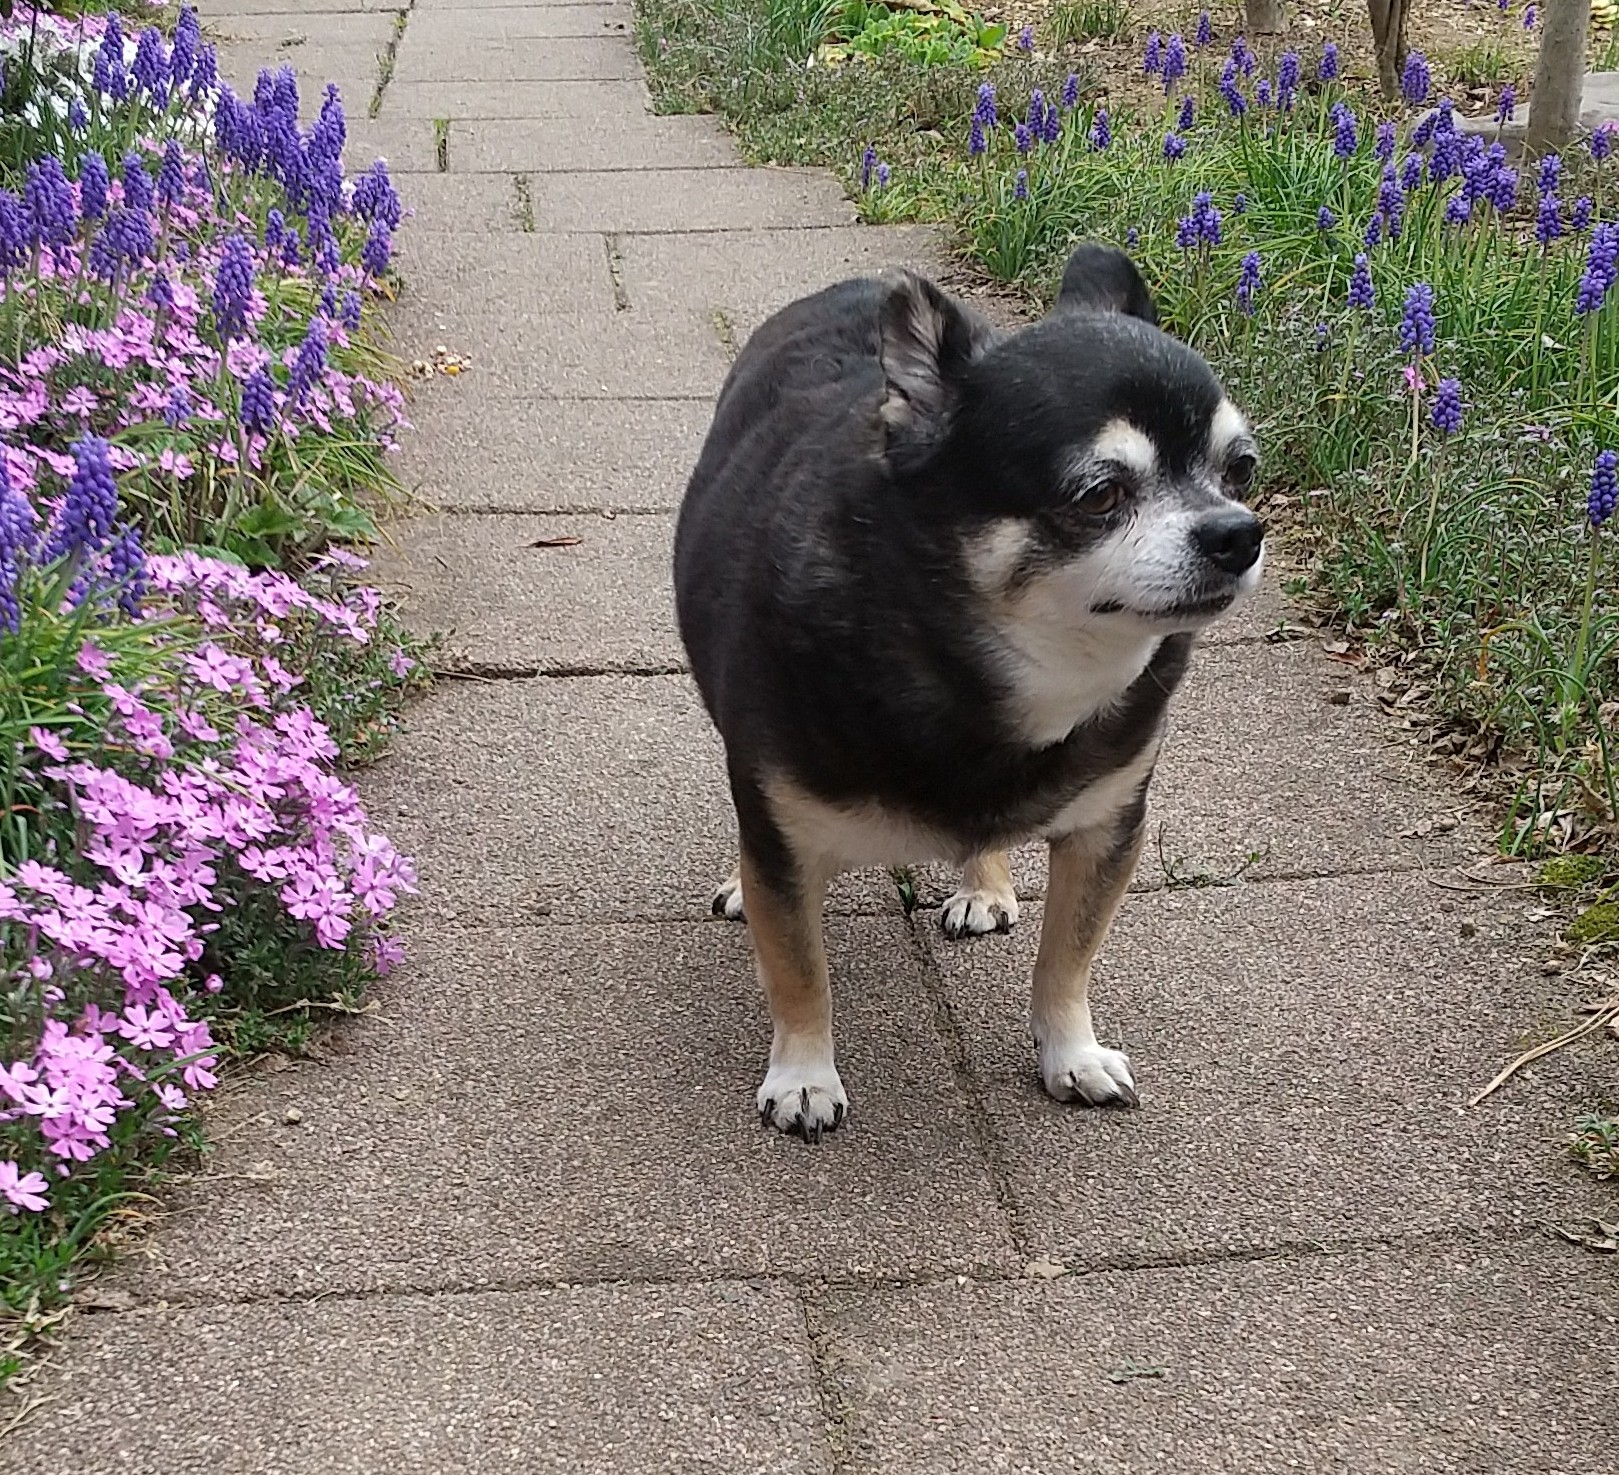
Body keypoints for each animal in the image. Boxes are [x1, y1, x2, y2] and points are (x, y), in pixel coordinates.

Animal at [670, 244, 1262, 1139]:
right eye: (1101, 494)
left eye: (1240, 470)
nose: (1239, 532)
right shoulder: (781, 827)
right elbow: (798, 965)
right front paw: (803, 1074)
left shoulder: (1107, 829)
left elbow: (1067, 956)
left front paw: (1070, 1053)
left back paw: (984, 883)